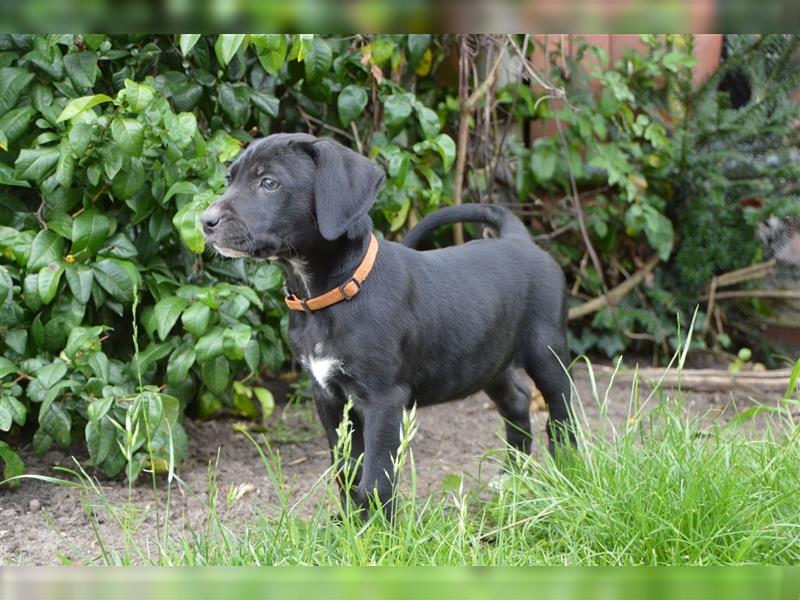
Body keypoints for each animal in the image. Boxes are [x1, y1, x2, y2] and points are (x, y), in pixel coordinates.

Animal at [203, 132, 572, 516]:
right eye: (230, 179)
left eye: (269, 183)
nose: (205, 221)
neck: (334, 294)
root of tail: (517, 238)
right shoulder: (327, 396)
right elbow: (346, 469)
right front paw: (349, 522)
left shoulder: (383, 398)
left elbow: (376, 476)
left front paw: (379, 527)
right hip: (486, 360)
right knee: (517, 400)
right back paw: (510, 477)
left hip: (546, 351)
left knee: (560, 414)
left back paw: (566, 472)